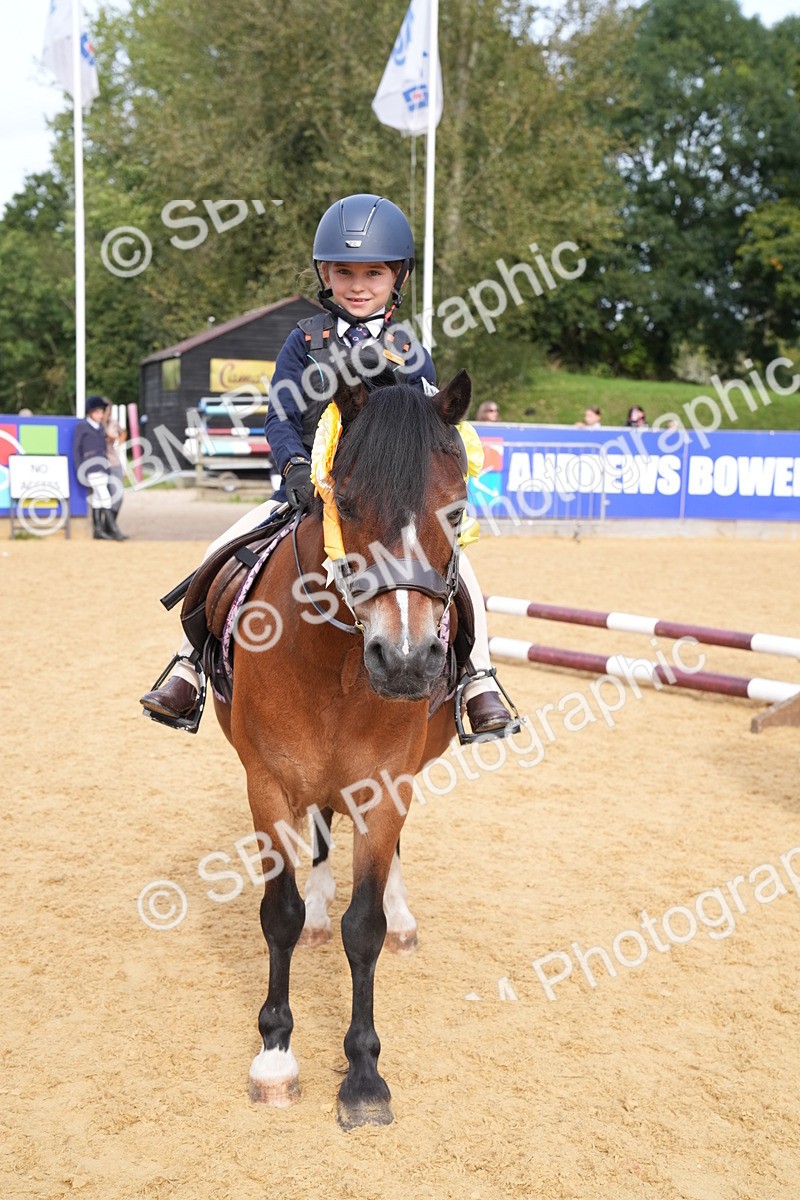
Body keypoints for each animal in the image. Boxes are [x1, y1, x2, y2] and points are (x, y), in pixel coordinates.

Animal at [212, 358, 473, 1130]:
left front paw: (362, 1074)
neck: (335, 660)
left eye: (457, 509)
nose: (407, 661)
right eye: (344, 504)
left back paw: (401, 916)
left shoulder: (385, 787)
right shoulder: (268, 785)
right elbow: (280, 915)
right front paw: (275, 1054)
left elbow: (366, 926)